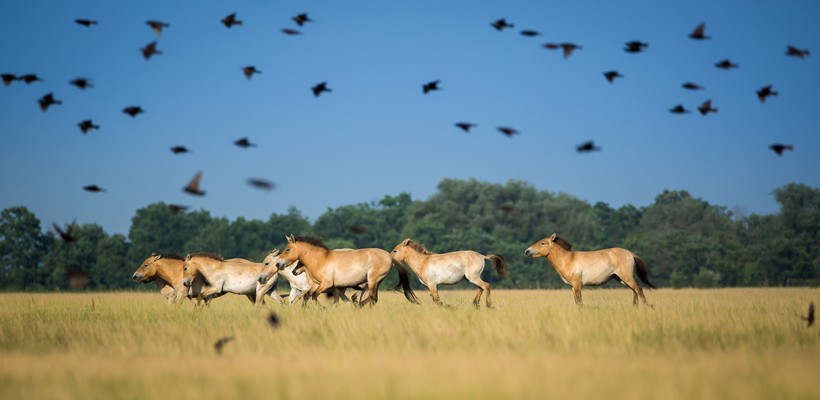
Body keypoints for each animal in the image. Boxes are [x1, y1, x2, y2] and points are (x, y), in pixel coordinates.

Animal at [274, 234, 420, 306]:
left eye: (287, 249)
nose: (278, 264)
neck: (321, 260)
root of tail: (390, 257)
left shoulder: (326, 284)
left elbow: (314, 296)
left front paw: (323, 308)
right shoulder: (318, 285)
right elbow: (307, 296)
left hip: (373, 279)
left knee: (371, 297)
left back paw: (357, 306)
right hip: (376, 282)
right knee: (373, 298)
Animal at [524, 233, 652, 304]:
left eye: (542, 243)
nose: (527, 251)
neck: (568, 259)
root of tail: (631, 254)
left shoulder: (577, 284)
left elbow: (580, 301)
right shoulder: (572, 286)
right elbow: (577, 302)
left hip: (627, 278)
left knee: (639, 289)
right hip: (621, 279)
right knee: (634, 291)